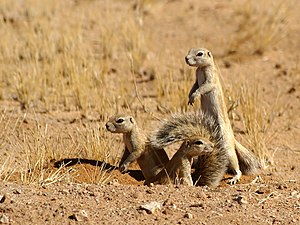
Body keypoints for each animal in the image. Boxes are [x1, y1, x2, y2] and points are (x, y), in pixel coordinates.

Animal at [184, 48, 262, 185]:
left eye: (200, 53)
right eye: (189, 50)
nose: (186, 58)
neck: (201, 68)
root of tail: (234, 140)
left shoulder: (210, 78)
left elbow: (204, 87)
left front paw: (195, 96)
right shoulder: (196, 78)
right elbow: (194, 86)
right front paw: (190, 97)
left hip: (229, 152)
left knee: (237, 167)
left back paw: (235, 177)